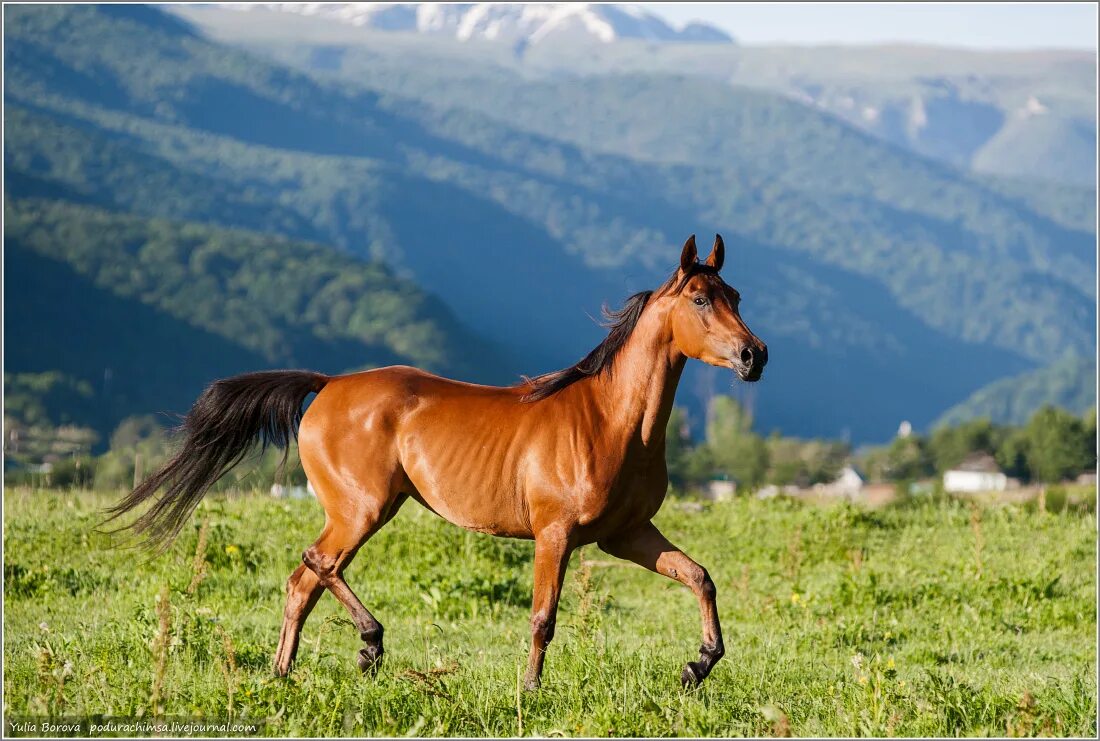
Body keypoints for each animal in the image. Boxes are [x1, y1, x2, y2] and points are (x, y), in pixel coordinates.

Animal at [109, 234, 765, 690]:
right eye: (701, 299)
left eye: (735, 296)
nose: (753, 356)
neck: (609, 421)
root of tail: (327, 385)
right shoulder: (555, 535)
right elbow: (542, 617)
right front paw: (531, 690)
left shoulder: (626, 534)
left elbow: (700, 578)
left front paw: (698, 666)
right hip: (362, 510)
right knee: (316, 564)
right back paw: (369, 645)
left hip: (362, 512)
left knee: (302, 583)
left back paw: (283, 674)